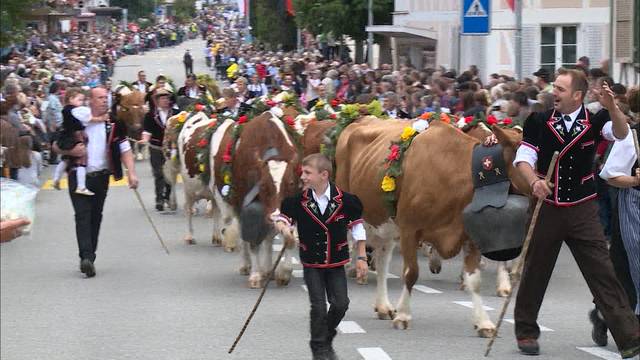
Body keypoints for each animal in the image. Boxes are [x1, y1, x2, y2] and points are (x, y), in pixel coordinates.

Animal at [332, 117, 528, 334]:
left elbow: (475, 280)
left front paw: (484, 322)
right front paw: (403, 315)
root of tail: (360, 120)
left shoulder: (471, 236)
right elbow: (411, 273)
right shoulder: (410, 229)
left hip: (387, 223)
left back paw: (383, 306)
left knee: (382, 262)